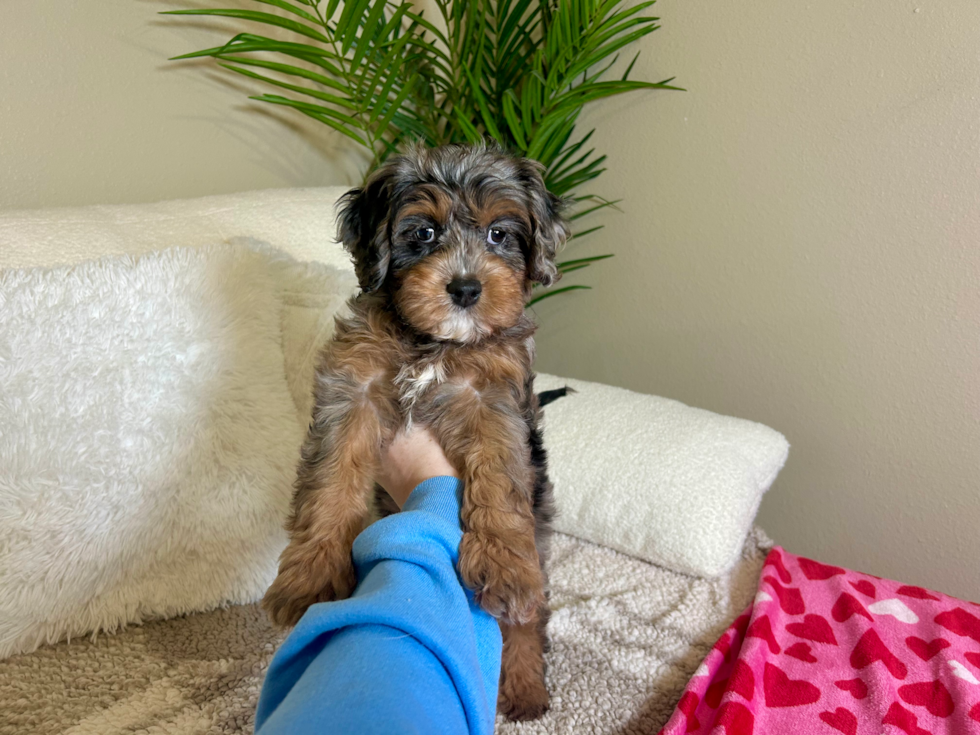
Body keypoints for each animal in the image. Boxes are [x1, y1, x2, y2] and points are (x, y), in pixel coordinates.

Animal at [262, 141, 568, 720]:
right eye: (422, 232)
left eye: (500, 234)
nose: (466, 288)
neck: (433, 343)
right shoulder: (352, 389)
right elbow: (331, 482)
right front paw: (312, 579)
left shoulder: (496, 400)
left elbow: (500, 481)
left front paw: (504, 566)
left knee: (528, 620)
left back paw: (523, 685)